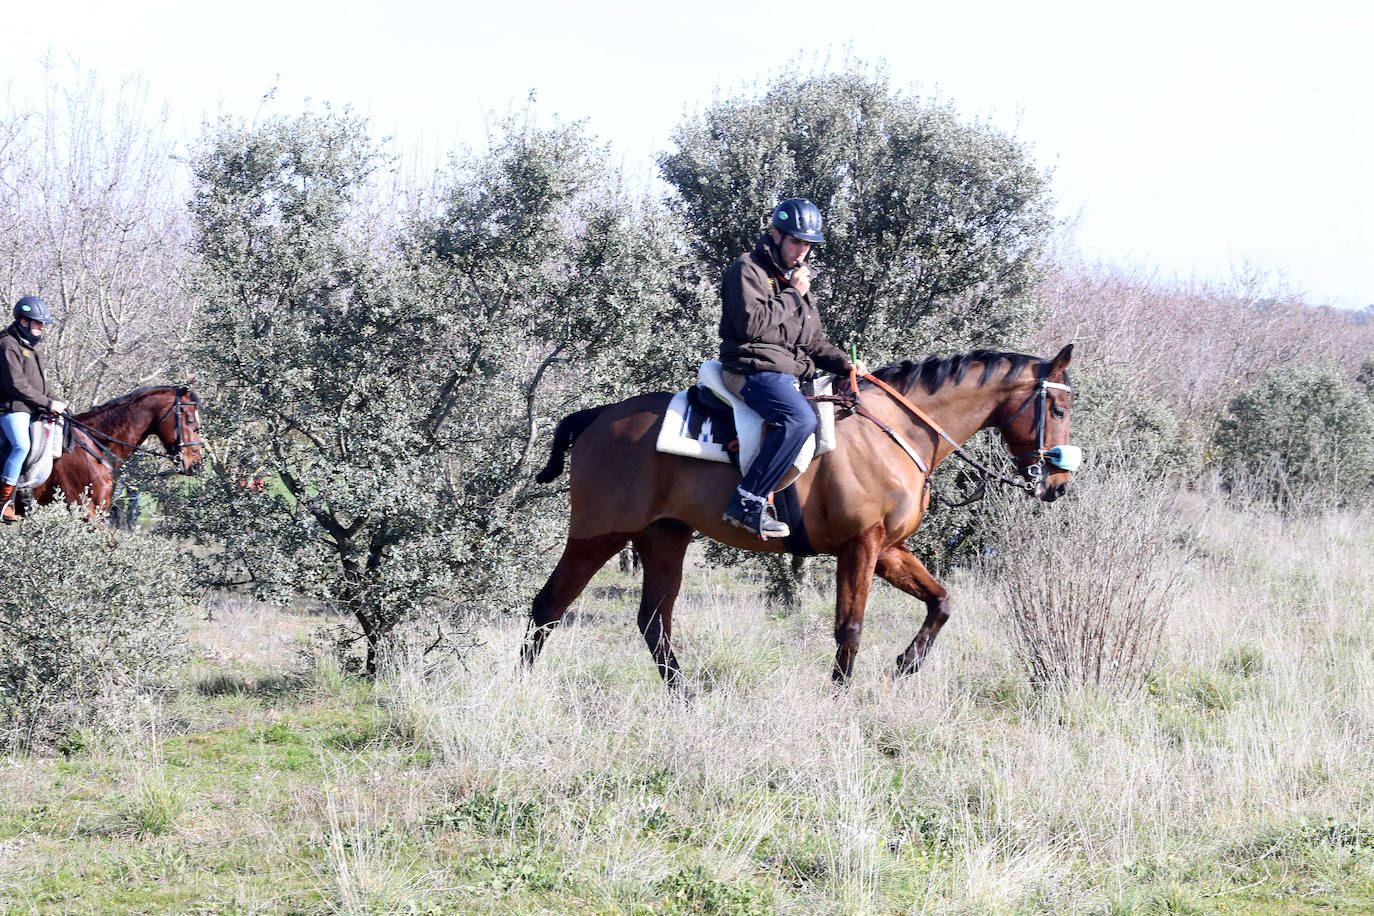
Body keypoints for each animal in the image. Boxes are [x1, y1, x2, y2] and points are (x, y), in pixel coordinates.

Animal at [522, 346, 1071, 686]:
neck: (895, 429)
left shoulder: (889, 549)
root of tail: (599, 415)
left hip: (664, 538)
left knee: (654, 623)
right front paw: (841, 699)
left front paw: (904, 666)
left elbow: (941, 602)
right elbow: (850, 628)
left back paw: (686, 697)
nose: (1058, 484)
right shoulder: (861, 545)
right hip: (599, 534)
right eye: (1060, 411)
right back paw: (524, 690)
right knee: (548, 606)